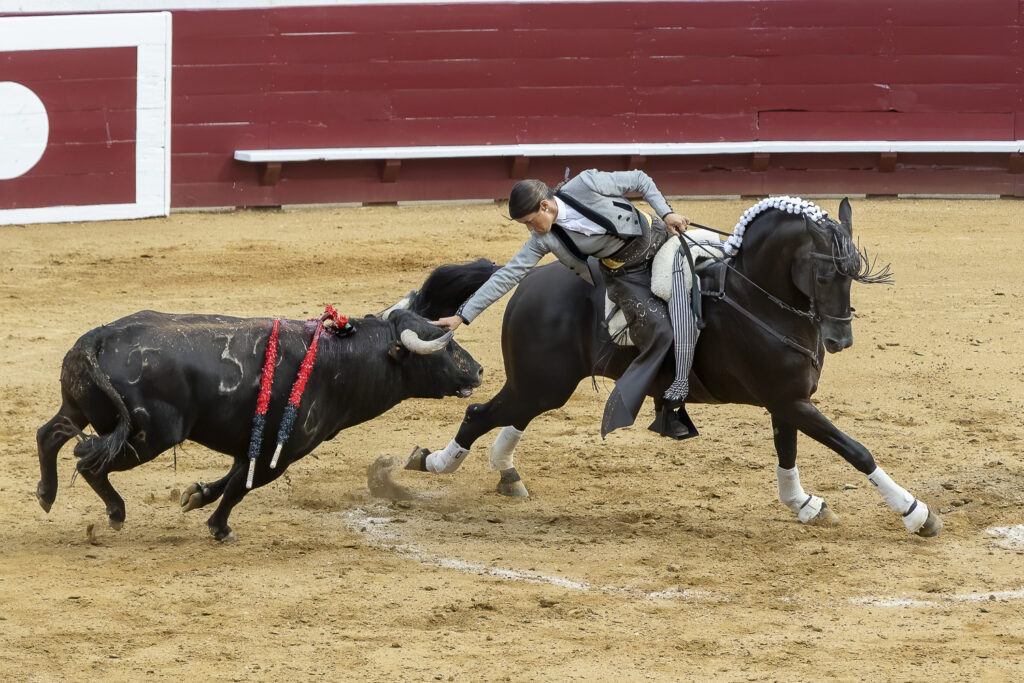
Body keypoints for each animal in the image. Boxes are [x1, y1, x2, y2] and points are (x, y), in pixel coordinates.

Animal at [391, 197, 942, 537]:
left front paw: (803, 504)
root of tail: (529, 282)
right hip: (541, 381)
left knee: (510, 416)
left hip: (546, 384)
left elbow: (787, 452)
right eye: (826, 273)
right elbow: (855, 449)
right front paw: (916, 513)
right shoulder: (788, 399)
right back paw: (431, 464)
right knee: (480, 413)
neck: (755, 297)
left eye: (854, 273)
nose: (839, 339)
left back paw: (505, 473)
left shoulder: (787, 400)